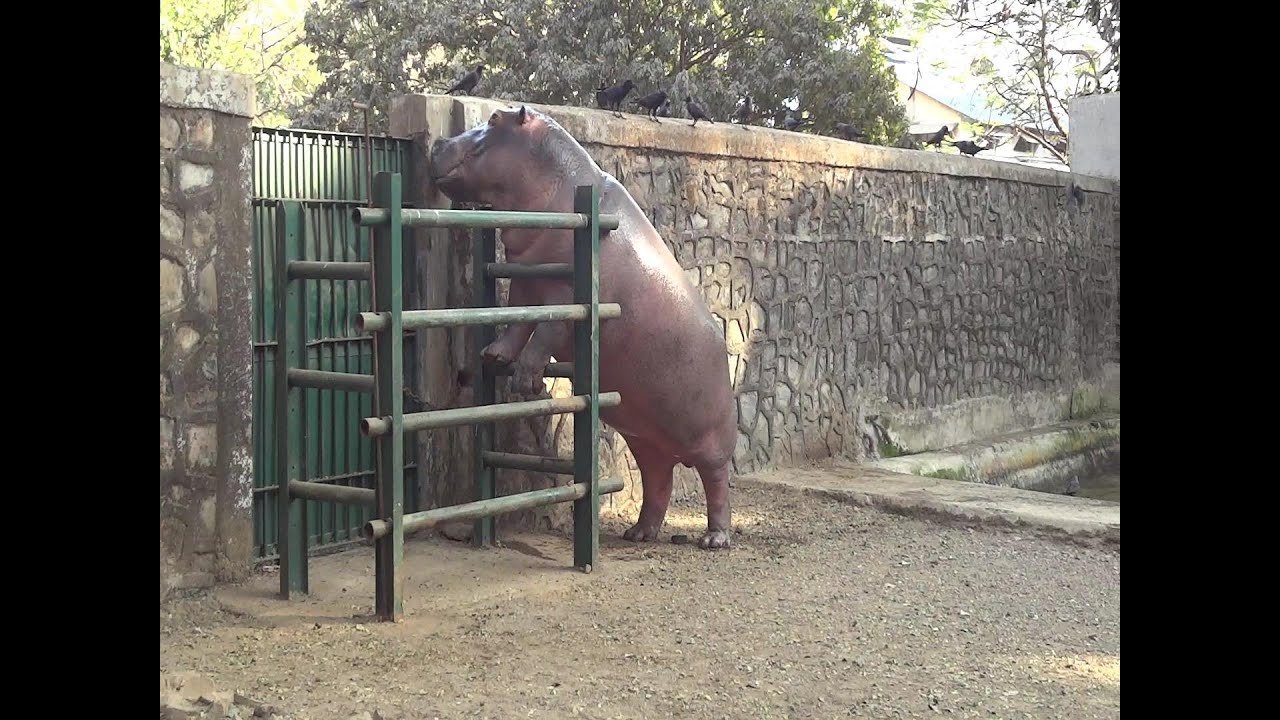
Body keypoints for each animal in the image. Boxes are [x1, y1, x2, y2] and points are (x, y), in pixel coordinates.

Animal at [428, 105, 737, 549]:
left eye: (495, 120)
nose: (437, 142)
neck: (560, 180)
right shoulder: (525, 275)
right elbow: (518, 321)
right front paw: (494, 355)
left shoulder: (565, 294)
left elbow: (545, 332)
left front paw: (523, 380)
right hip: (646, 440)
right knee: (657, 482)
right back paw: (638, 534)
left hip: (710, 443)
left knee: (717, 484)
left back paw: (714, 540)